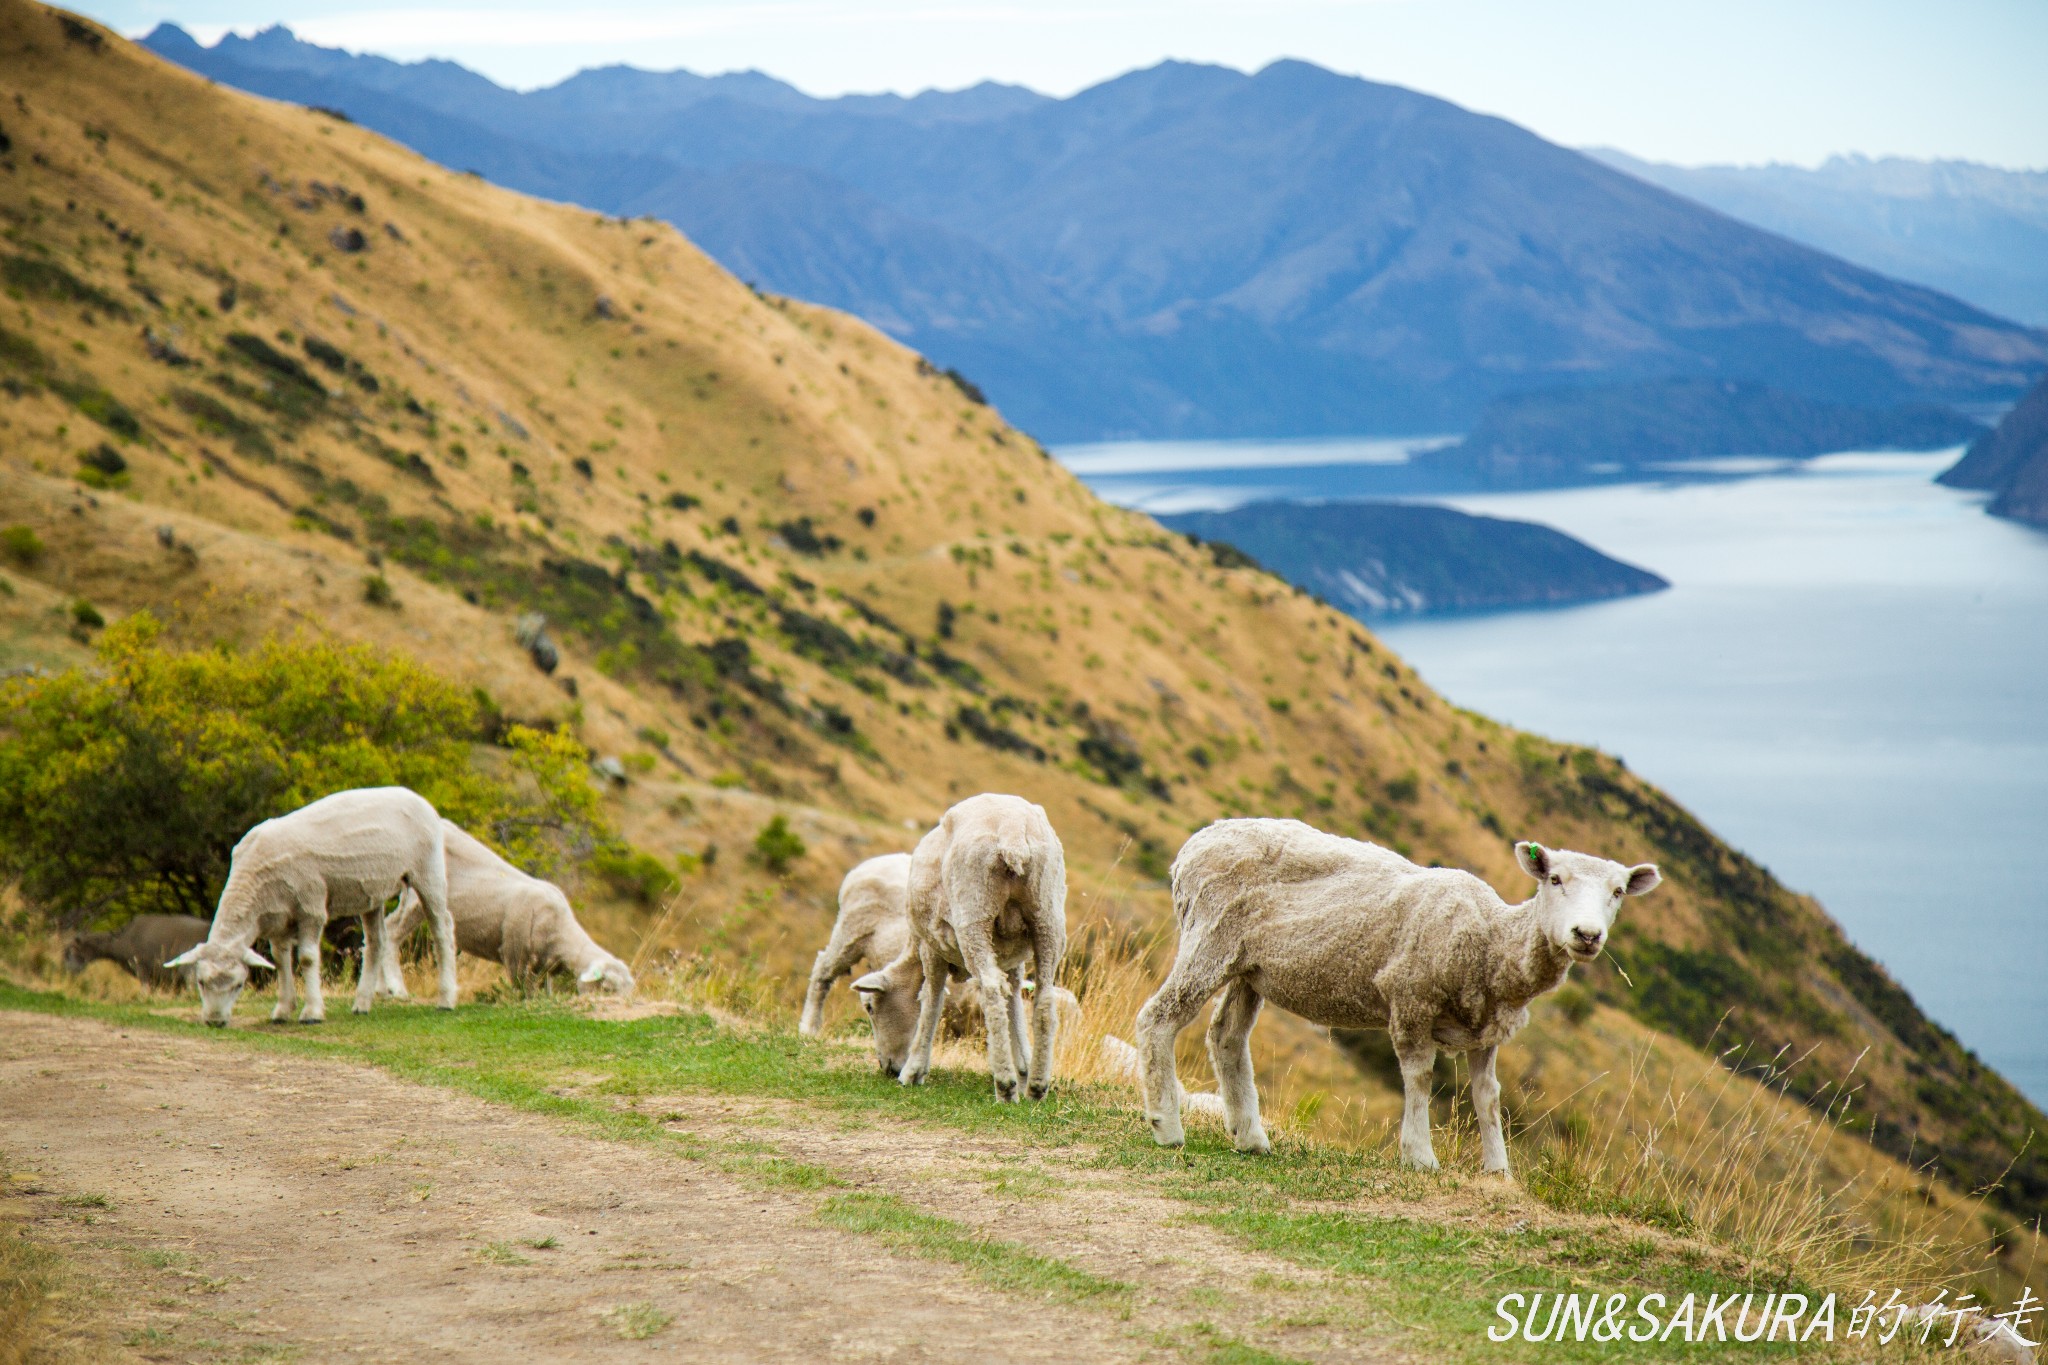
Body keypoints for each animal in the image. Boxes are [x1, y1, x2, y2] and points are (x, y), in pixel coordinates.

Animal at [165, 785, 458, 1031]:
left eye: (238, 985)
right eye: (201, 982)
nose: (214, 1022)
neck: (253, 884)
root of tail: (416, 796)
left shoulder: (311, 907)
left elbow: (306, 958)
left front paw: (312, 1012)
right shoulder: (277, 917)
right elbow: (280, 960)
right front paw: (283, 1010)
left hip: (428, 871)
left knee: (441, 928)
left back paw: (446, 999)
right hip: (372, 893)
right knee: (376, 941)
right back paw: (361, 1004)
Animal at [385, 818, 634, 998]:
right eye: (608, 989)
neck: (561, 933)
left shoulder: (543, 967)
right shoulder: (515, 953)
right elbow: (522, 990)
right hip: (418, 898)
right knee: (394, 933)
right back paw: (395, 990)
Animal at [851, 794, 1073, 1105]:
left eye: (870, 1007)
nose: (886, 1067)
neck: (912, 948)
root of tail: (1013, 832)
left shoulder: (931, 948)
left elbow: (931, 1001)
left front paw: (913, 1071)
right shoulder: (1012, 962)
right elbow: (1014, 1004)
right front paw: (1024, 1068)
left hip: (974, 914)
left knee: (991, 993)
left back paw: (1004, 1086)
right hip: (1047, 914)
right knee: (1043, 1000)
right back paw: (1037, 1087)